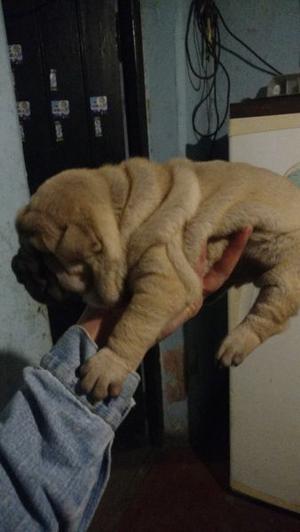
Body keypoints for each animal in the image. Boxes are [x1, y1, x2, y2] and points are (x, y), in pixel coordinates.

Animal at [11, 158, 300, 400]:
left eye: (42, 258)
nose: (16, 267)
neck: (121, 209)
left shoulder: (161, 279)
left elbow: (132, 325)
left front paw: (109, 365)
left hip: (287, 268)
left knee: (270, 311)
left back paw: (235, 344)